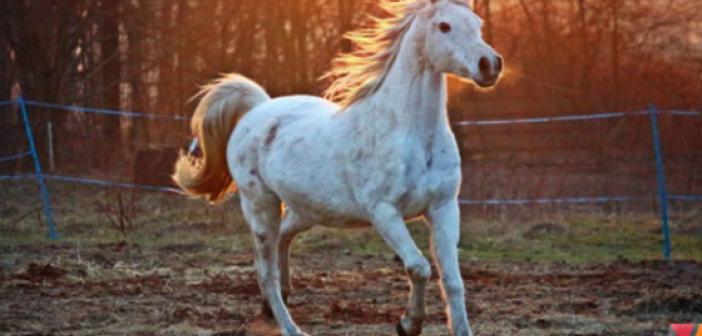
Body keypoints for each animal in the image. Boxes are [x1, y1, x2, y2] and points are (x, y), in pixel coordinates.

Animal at [175, 0, 506, 334]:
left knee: (284, 238)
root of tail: (257, 109)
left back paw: (277, 301)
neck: (410, 135)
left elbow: (453, 280)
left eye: (477, 23)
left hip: (307, 209)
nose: (490, 65)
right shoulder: (383, 212)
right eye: (444, 26)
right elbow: (419, 267)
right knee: (265, 273)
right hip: (260, 205)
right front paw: (408, 323)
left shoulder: (443, 208)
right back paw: (290, 326)